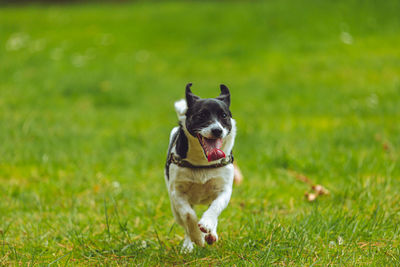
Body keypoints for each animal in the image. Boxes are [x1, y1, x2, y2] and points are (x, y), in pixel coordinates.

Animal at [164, 84, 236, 253]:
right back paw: (189, 244)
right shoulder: (177, 193)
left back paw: (211, 234)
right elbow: (189, 215)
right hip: (174, 208)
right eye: (201, 115)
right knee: (184, 222)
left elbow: (216, 207)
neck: (202, 162)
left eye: (224, 115)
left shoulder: (224, 190)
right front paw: (197, 237)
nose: (217, 130)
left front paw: (207, 225)